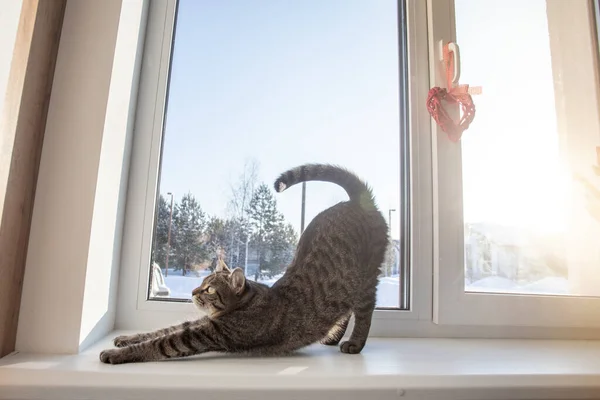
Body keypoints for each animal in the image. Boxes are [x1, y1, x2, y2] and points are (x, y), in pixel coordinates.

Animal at [99, 164, 390, 364]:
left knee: (365, 310)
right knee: (346, 310)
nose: (193, 292)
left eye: (209, 289)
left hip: (366, 278)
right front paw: (126, 338)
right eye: (201, 283)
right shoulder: (199, 323)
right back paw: (333, 336)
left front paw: (117, 353)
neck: (249, 300)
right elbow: (161, 329)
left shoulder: (206, 333)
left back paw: (354, 343)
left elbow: (162, 342)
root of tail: (356, 199)